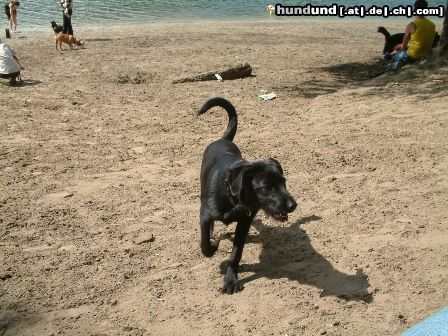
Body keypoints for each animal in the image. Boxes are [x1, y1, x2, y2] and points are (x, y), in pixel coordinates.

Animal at [197, 97, 296, 294]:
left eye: (284, 182)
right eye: (267, 186)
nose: (293, 205)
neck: (232, 198)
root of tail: (222, 139)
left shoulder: (245, 221)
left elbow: (236, 253)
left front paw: (230, 280)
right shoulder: (204, 214)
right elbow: (205, 242)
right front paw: (212, 246)